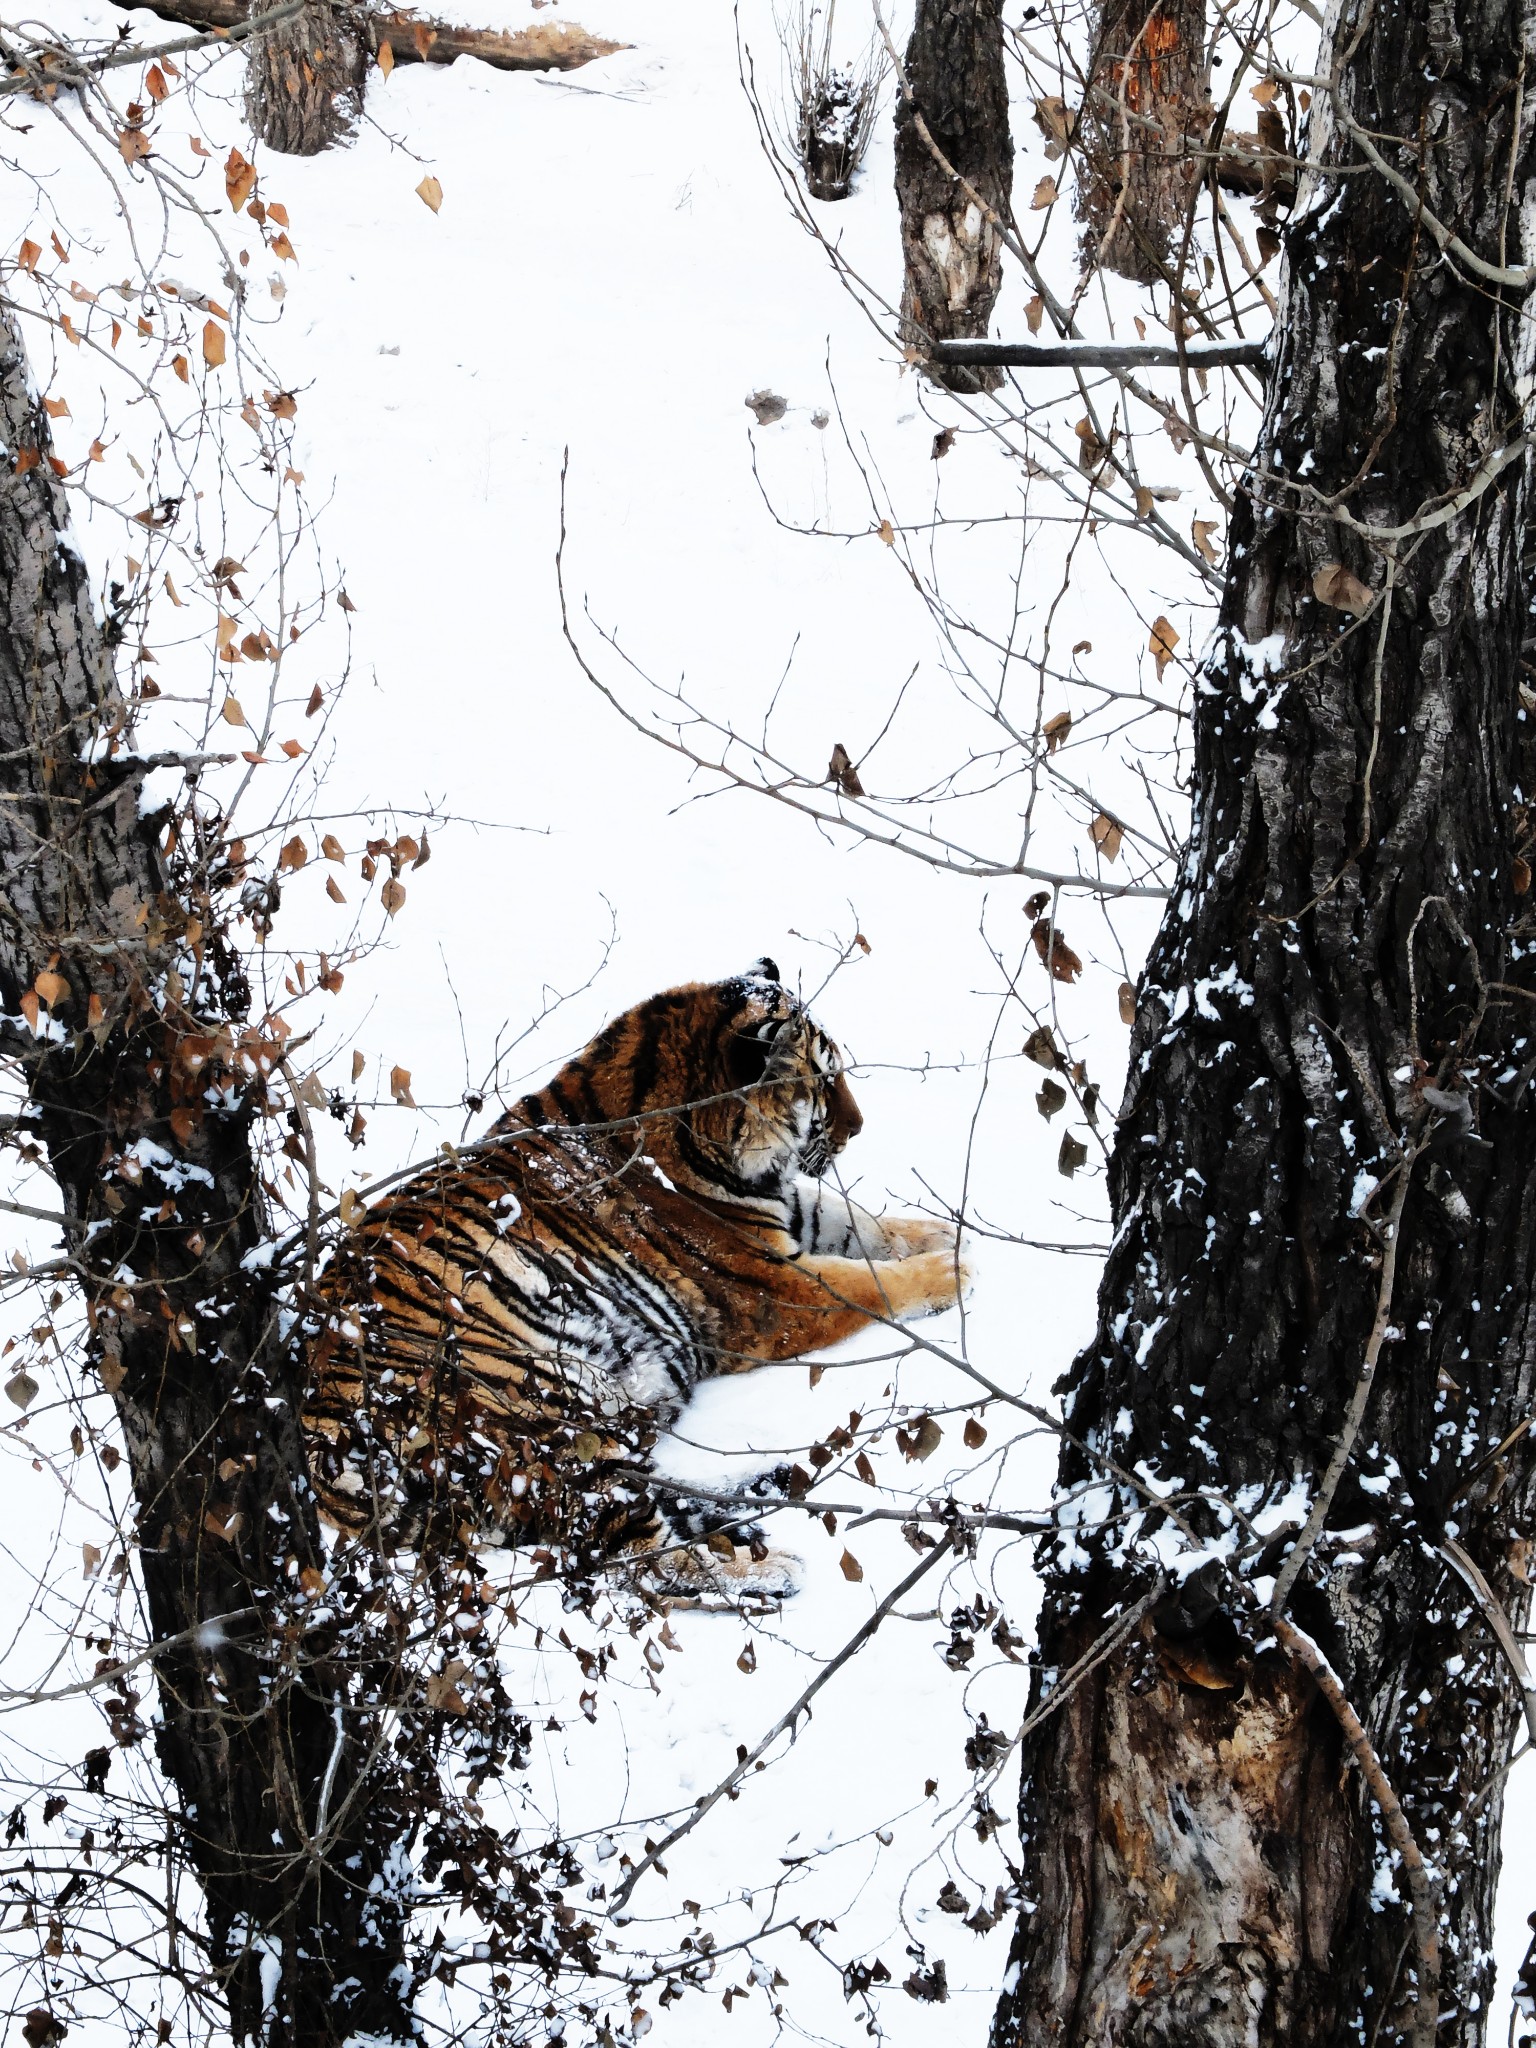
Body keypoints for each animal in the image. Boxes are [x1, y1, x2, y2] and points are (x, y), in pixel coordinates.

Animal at [305, 958, 966, 1597]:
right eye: (825, 1079)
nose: (859, 1127)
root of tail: (322, 1463)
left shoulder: (784, 1213)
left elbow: (859, 1222)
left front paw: (947, 1233)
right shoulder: (765, 1291)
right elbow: (867, 1284)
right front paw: (954, 1271)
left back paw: (771, 1482)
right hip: (540, 1405)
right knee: (622, 1552)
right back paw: (767, 1569)